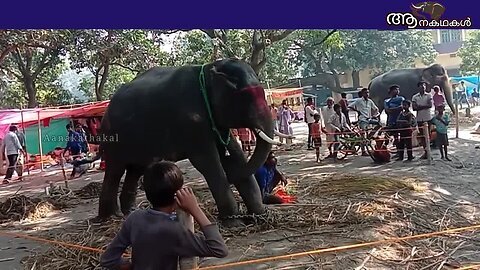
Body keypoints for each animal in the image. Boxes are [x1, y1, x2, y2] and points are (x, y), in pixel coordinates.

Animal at [95, 58, 280, 226]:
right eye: (246, 97)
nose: (232, 177)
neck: (208, 68)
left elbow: (234, 155)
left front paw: (261, 216)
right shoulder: (191, 121)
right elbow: (208, 162)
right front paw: (235, 223)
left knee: (135, 170)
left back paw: (129, 212)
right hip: (114, 137)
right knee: (115, 170)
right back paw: (110, 217)